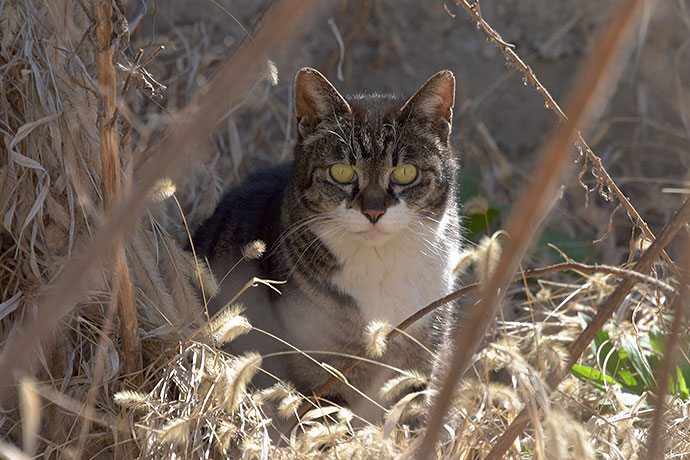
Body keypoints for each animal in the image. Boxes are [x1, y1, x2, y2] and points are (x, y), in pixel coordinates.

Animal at [192, 67, 462, 420]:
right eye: (341, 171)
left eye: (405, 172)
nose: (373, 211)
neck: (380, 265)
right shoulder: (322, 375)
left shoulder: (421, 362)